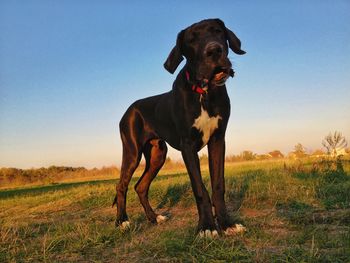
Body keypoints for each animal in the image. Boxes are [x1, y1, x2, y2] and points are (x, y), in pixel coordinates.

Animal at [113, 18, 245, 237]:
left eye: (218, 31)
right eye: (191, 40)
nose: (214, 50)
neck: (203, 93)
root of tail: (129, 109)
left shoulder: (218, 140)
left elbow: (218, 185)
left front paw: (227, 224)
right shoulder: (188, 146)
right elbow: (199, 188)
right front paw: (207, 227)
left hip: (158, 154)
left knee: (140, 186)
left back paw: (154, 218)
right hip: (132, 151)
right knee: (121, 185)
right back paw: (122, 221)